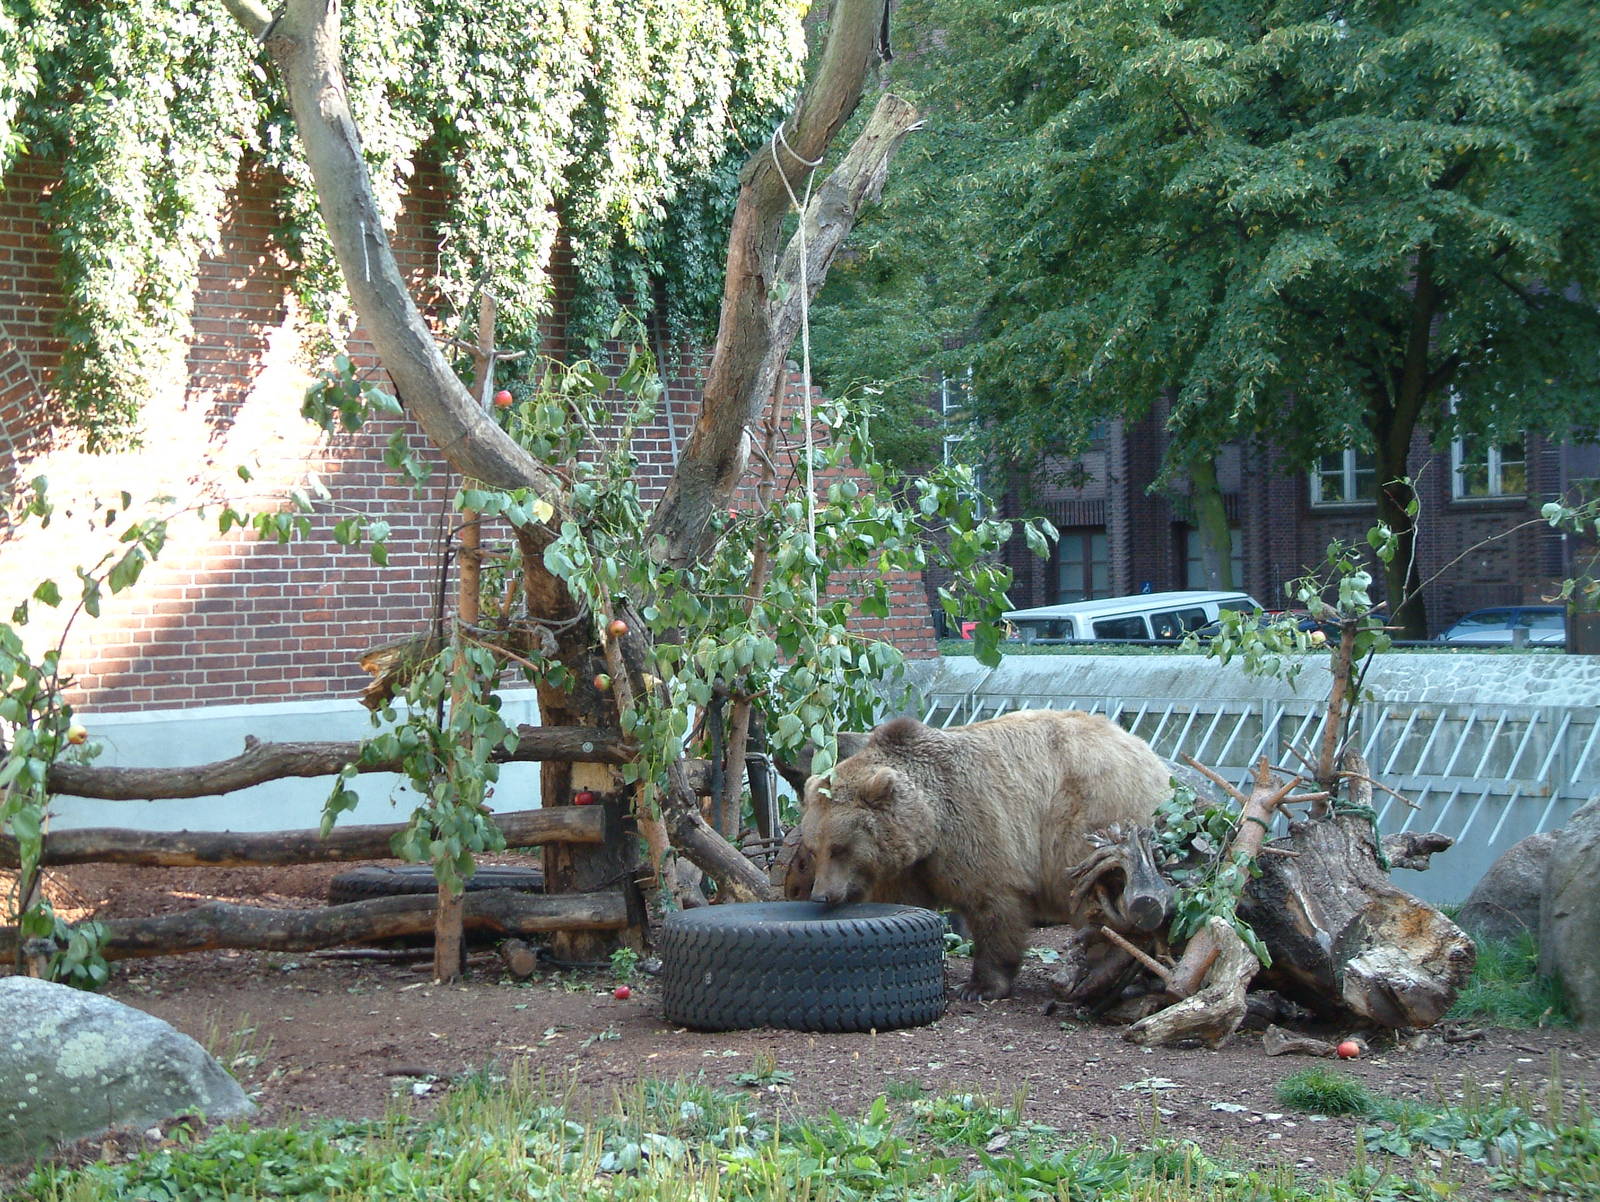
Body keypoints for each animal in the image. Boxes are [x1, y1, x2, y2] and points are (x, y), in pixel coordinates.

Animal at [798, 709, 1171, 1001]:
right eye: (813, 849)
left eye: (839, 848)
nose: (821, 895)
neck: (930, 823)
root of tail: (1148, 753)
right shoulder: (910, 866)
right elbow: (902, 904)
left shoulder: (977, 824)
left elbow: (993, 906)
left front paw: (980, 986)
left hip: (1095, 813)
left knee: (1099, 894)